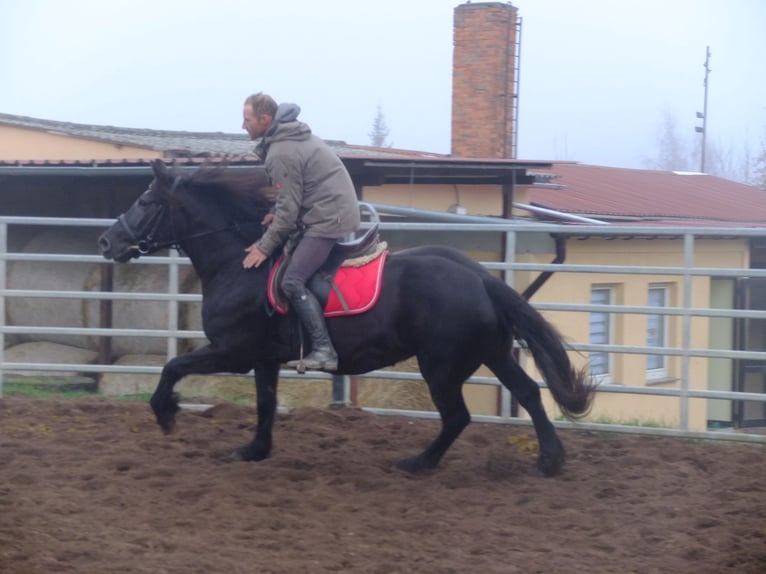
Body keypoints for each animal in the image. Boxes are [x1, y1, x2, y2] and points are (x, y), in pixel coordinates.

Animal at [99, 159, 596, 476]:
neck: (240, 264)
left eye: (145, 202)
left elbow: (172, 366)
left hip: (441, 366)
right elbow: (264, 404)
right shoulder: (262, 358)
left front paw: (166, 412)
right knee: (529, 393)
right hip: (492, 353)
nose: (107, 242)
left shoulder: (232, 351)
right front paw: (256, 450)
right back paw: (549, 461)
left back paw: (418, 463)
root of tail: (479, 277)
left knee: (458, 416)